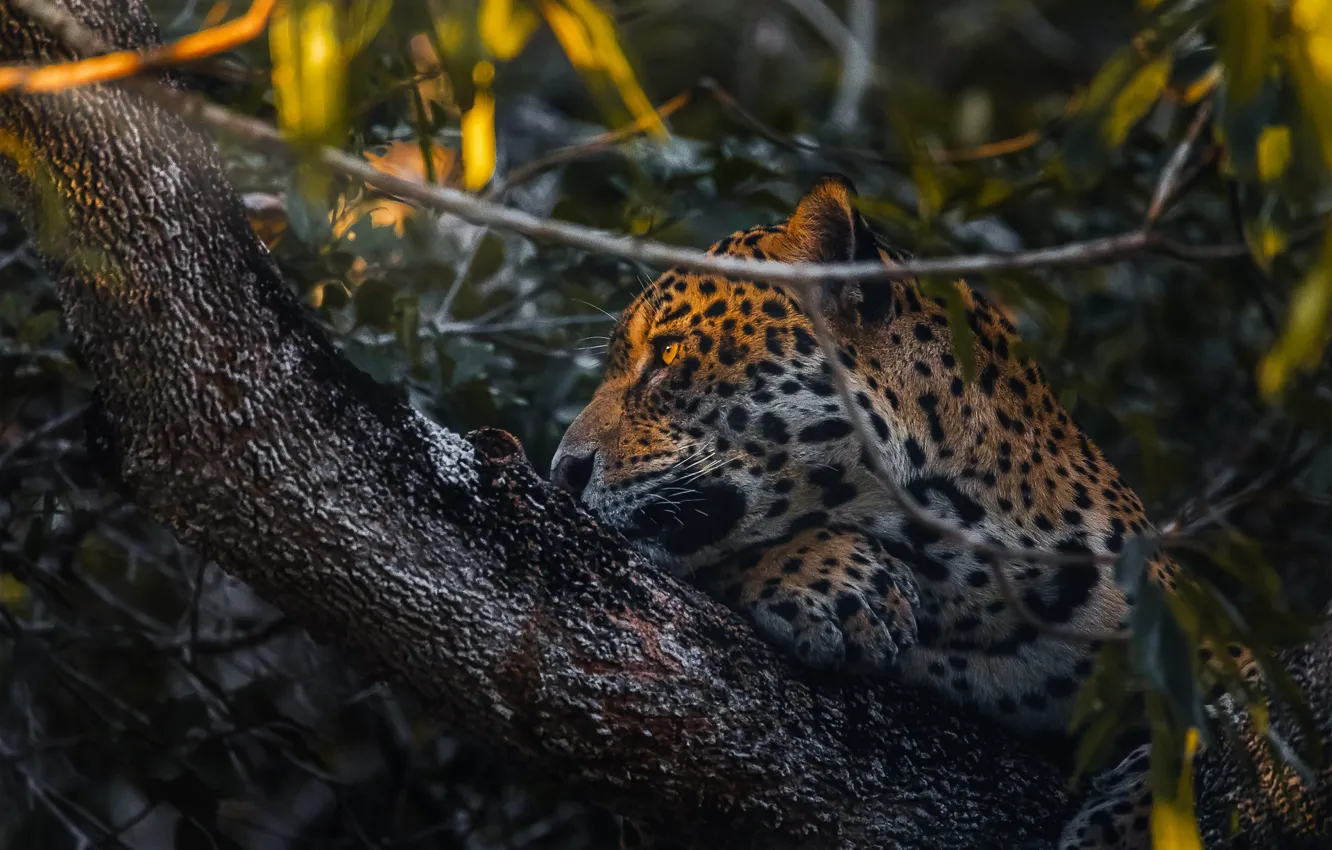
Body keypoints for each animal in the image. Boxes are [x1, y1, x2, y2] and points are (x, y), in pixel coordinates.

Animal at [550, 175, 1238, 850]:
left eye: (666, 356)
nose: (561, 470)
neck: (961, 587)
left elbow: (1212, 745)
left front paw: (1126, 825)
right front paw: (833, 582)